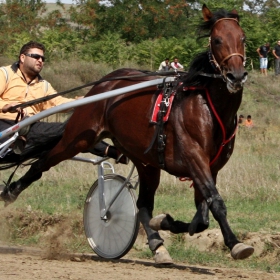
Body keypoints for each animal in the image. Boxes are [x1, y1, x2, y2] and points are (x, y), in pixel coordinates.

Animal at [0, 3, 254, 262]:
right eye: (217, 39)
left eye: (242, 38)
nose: (236, 76)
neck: (208, 106)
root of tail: (103, 83)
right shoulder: (194, 157)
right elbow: (215, 204)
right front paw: (235, 243)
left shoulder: (211, 167)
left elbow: (202, 217)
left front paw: (167, 222)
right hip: (78, 136)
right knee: (41, 163)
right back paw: (11, 191)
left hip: (145, 160)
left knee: (143, 204)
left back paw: (157, 243)